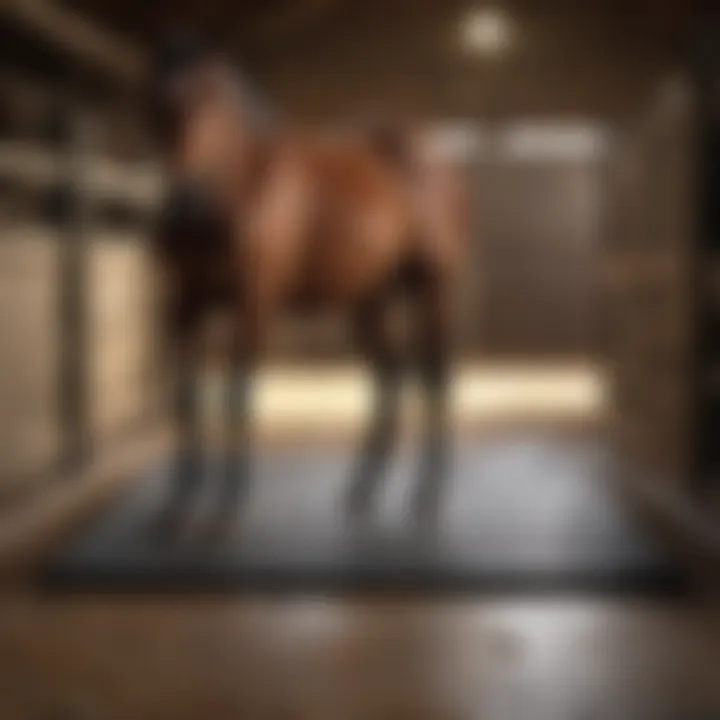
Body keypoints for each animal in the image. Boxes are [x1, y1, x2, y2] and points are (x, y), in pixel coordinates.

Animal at [150, 38, 466, 536]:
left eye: (212, 100)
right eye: (157, 103)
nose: (184, 205)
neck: (245, 188)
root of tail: (436, 155)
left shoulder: (253, 304)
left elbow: (237, 397)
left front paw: (224, 511)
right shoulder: (184, 305)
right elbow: (186, 399)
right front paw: (177, 507)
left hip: (433, 289)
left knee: (434, 375)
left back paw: (427, 496)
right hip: (371, 300)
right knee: (390, 376)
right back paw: (363, 490)